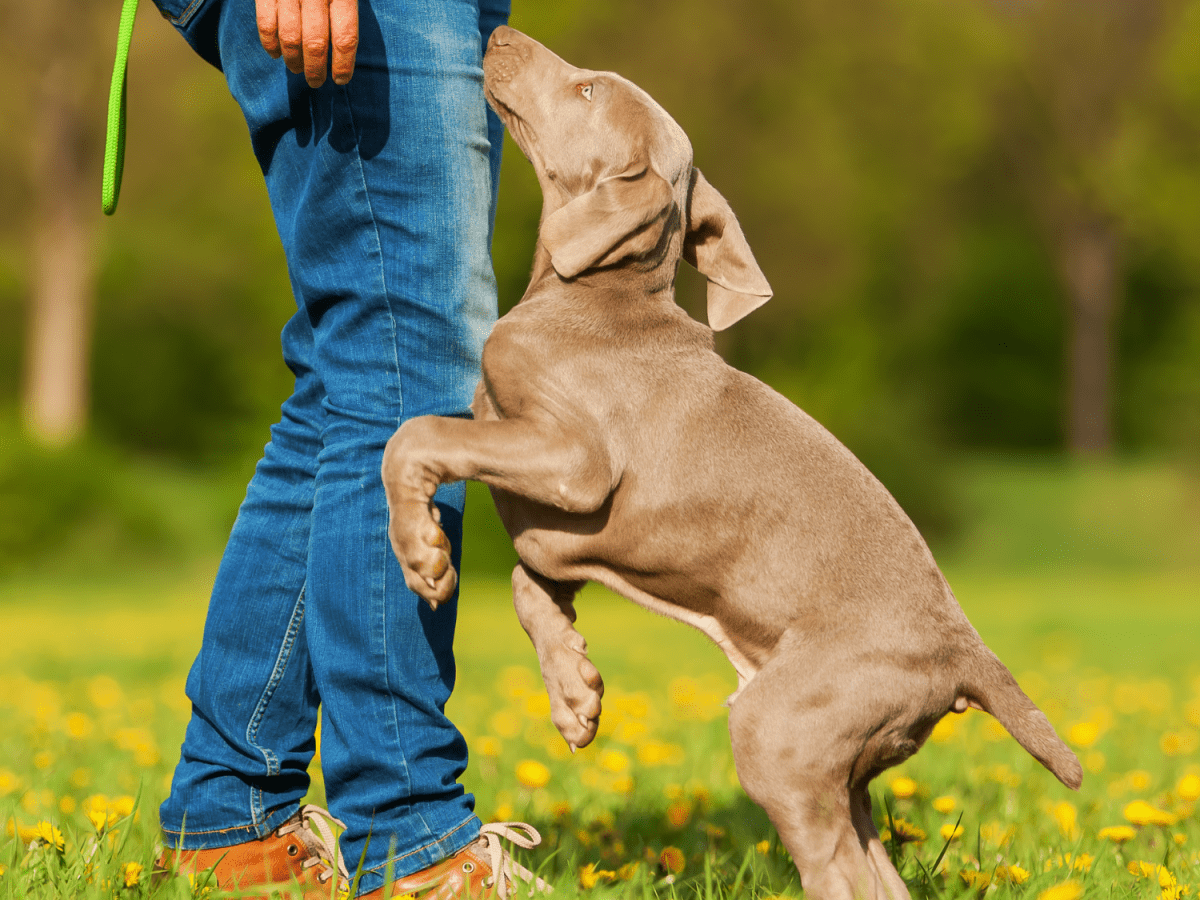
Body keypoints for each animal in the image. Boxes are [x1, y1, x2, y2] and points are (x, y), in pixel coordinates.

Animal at [386, 26, 1089, 900]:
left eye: (588, 90)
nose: (502, 33)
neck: (597, 292)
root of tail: (963, 652)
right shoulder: (557, 522)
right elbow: (526, 579)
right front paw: (575, 692)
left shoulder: (574, 463)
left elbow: (415, 436)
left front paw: (422, 554)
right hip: (839, 753)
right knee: (877, 874)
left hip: (779, 731)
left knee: (837, 872)